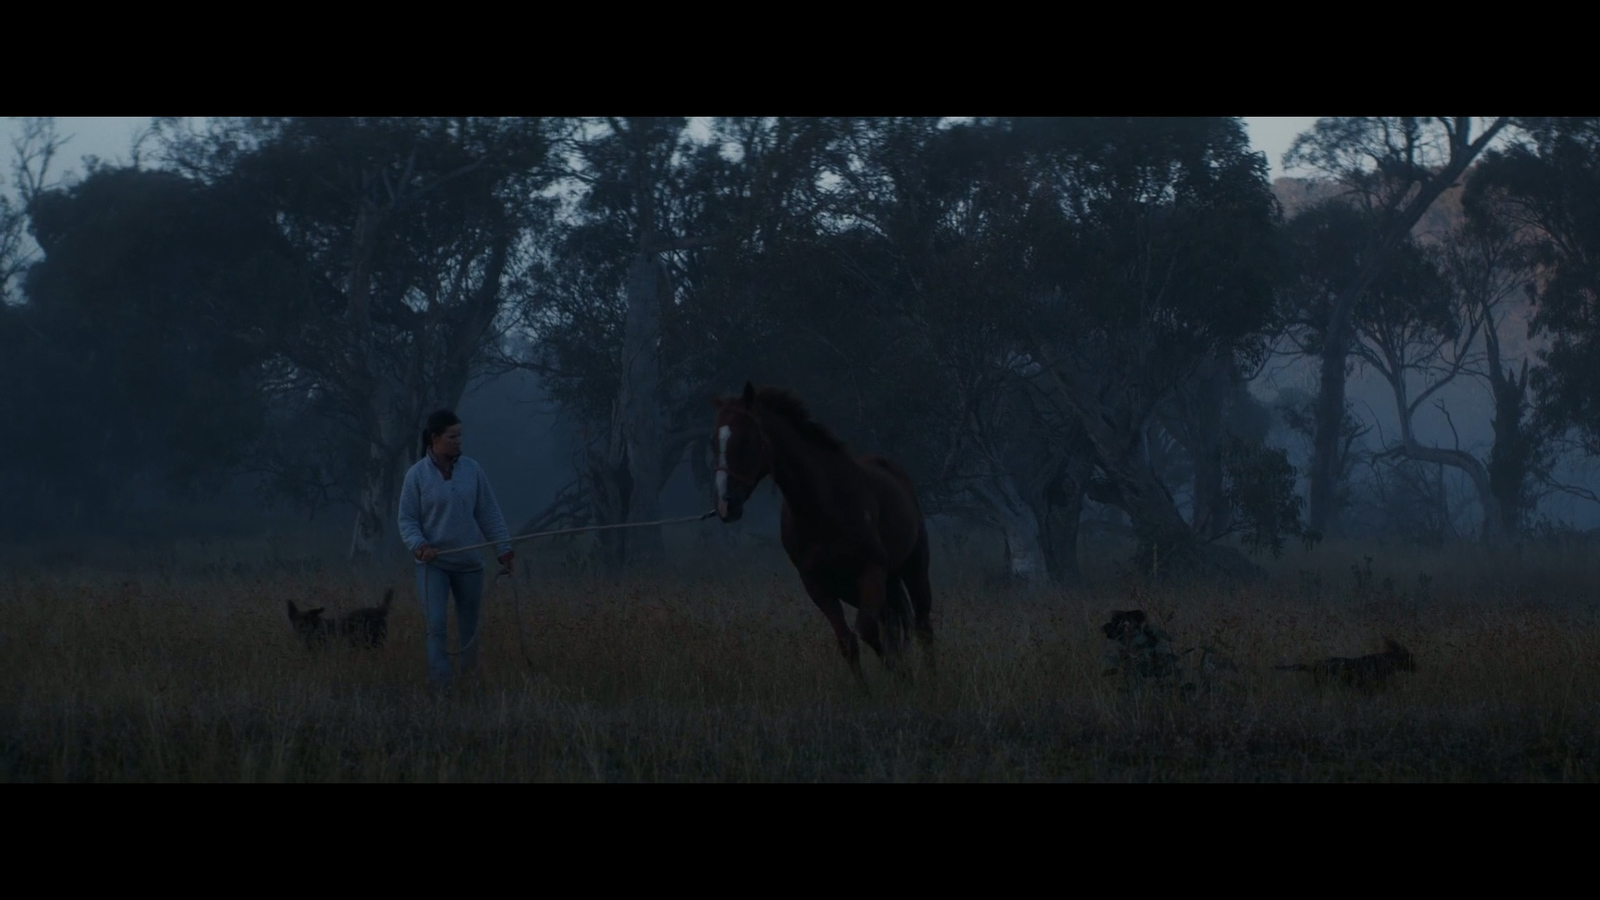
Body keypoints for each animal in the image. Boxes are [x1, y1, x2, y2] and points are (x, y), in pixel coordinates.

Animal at [713, 379, 934, 685]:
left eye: (746, 440)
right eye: (715, 443)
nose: (726, 505)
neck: (823, 508)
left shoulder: (871, 571)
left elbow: (868, 632)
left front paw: (901, 676)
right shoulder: (817, 583)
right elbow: (848, 642)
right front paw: (870, 688)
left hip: (912, 569)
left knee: (922, 624)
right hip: (858, 587)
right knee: (893, 621)